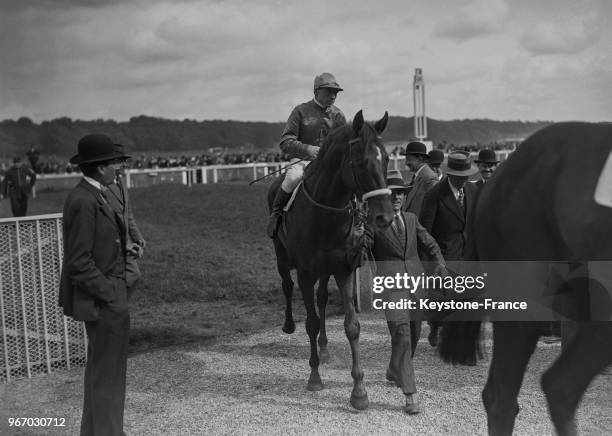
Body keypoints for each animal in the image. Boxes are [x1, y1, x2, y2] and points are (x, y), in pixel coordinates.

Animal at [266, 109, 392, 408]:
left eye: (387, 158)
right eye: (361, 162)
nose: (385, 216)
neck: (324, 214)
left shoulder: (344, 267)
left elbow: (352, 326)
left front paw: (359, 391)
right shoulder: (305, 272)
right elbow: (310, 322)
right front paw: (314, 378)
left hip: (325, 269)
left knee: (322, 298)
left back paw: (324, 347)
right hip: (281, 255)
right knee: (287, 285)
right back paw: (289, 325)